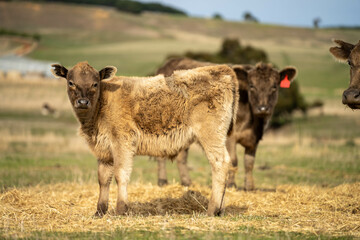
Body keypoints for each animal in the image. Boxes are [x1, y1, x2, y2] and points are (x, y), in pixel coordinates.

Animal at [50, 61, 239, 216]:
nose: (83, 102)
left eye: (95, 83)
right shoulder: (104, 150)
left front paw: (121, 209)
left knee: (220, 163)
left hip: (211, 135)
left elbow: (121, 174)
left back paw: (212, 209)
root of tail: (222, 69)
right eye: (71, 82)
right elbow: (103, 179)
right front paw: (100, 211)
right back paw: (220, 209)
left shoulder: (122, 142)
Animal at [156, 57, 296, 189]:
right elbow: (233, 160)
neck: (252, 123)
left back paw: (187, 182)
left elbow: (249, 162)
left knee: (182, 157)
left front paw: (249, 187)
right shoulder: (229, 136)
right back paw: (162, 181)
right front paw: (231, 184)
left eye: (274, 87)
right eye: (251, 86)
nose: (263, 108)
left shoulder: (254, 139)